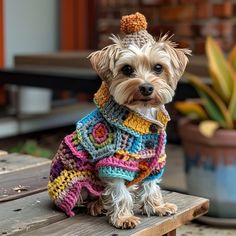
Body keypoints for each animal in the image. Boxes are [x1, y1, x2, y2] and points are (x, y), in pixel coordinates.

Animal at [47, 12, 190, 229]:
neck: (141, 113)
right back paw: (97, 205)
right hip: (76, 179)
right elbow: (119, 192)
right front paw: (124, 218)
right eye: (127, 69)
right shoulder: (114, 162)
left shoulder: (153, 160)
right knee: (87, 197)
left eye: (158, 67)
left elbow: (150, 185)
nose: (146, 87)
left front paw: (157, 207)